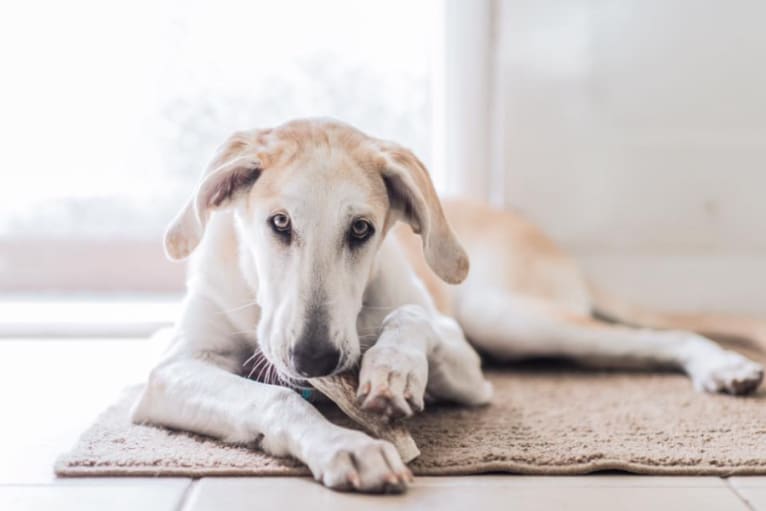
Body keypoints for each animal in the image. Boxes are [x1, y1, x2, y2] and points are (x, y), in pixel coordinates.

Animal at [132, 118, 766, 494]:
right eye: (279, 223)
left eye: (361, 229)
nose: (314, 359)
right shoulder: (171, 372)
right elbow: (275, 400)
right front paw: (344, 444)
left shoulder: (466, 363)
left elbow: (413, 319)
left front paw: (394, 367)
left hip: (504, 317)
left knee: (662, 335)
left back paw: (721, 364)